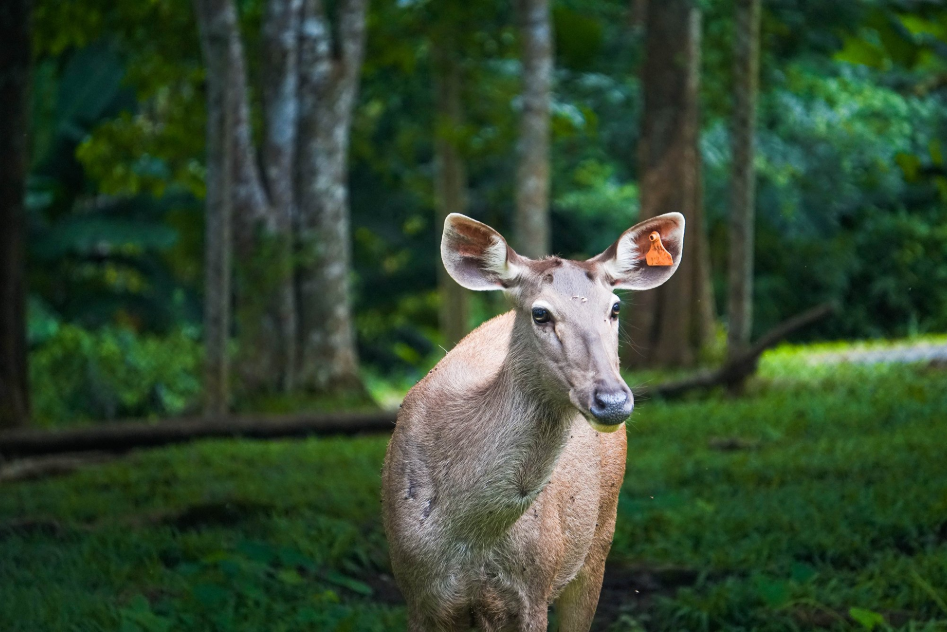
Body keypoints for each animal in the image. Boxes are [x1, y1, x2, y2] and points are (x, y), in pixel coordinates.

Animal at [382, 214, 684, 632]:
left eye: (615, 308)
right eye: (540, 313)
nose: (612, 400)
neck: (470, 540)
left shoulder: (535, 585)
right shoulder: (416, 592)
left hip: (599, 538)